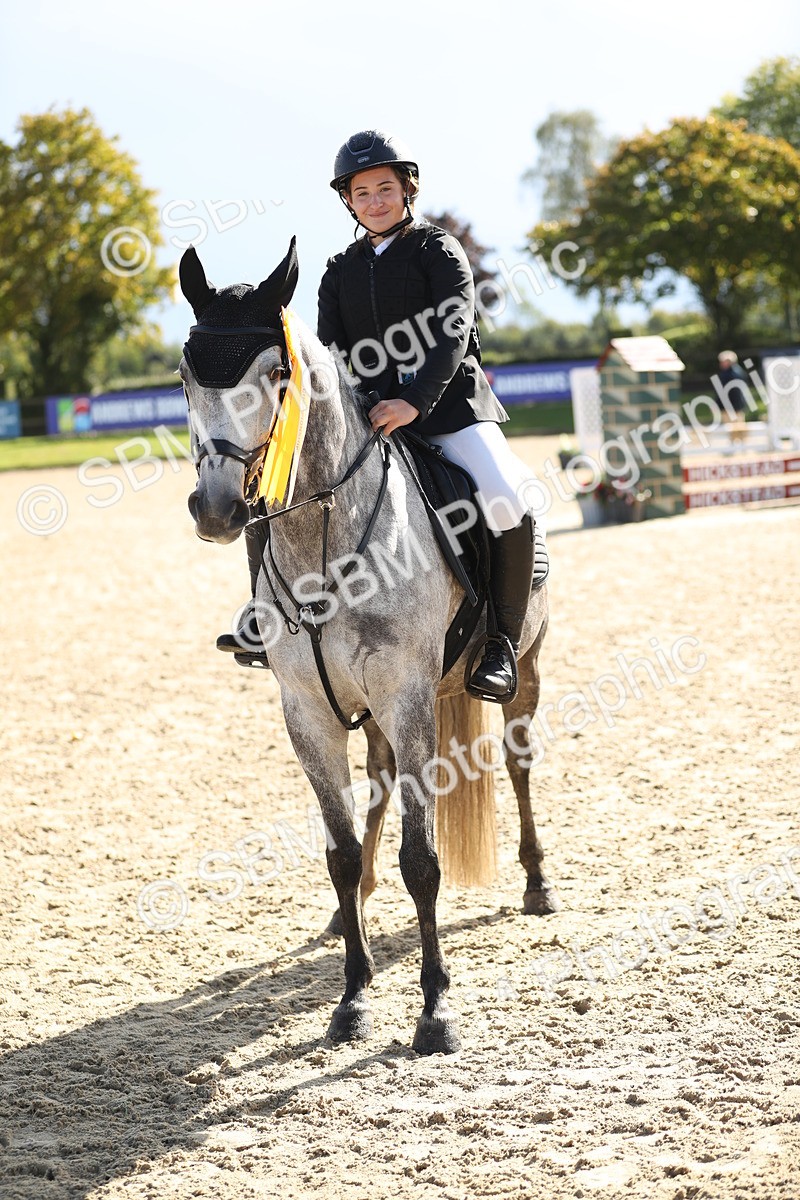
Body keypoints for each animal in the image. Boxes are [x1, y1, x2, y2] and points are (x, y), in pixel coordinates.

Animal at [178, 239, 559, 1055]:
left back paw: (538, 883)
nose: (218, 510)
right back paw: (347, 915)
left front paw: (435, 1010)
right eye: (185, 378)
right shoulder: (308, 712)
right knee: (380, 787)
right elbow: (340, 852)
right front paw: (353, 997)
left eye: (277, 375)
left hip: (525, 667)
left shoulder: (406, 694)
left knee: (518, 762)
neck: (321, 534)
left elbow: (425, 860)